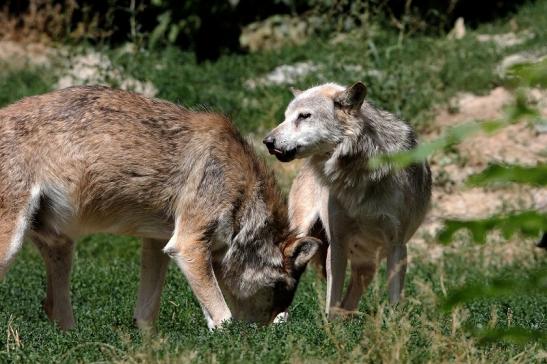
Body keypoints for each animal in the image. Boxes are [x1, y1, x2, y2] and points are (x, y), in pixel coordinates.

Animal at [0, 86, 322, 330]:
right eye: (282, 290)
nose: (263, 336)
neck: (243, 189)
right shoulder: (187, 245)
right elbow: (223, 318)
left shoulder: (157, 244)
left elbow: (146, 314)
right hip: (13, 247)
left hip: (62, 247)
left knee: (53, 307)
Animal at [262, 82, 432, 316]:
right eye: (286, 117)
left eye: (304, 116)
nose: (267, 142)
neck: (359, 171)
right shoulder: (337, 244)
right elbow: (331, 300)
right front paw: (329, 325)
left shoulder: (396, 244)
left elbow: (394, 299)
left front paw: (393, 323)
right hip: (302, 233)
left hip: (367, 267)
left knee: (350, 300)